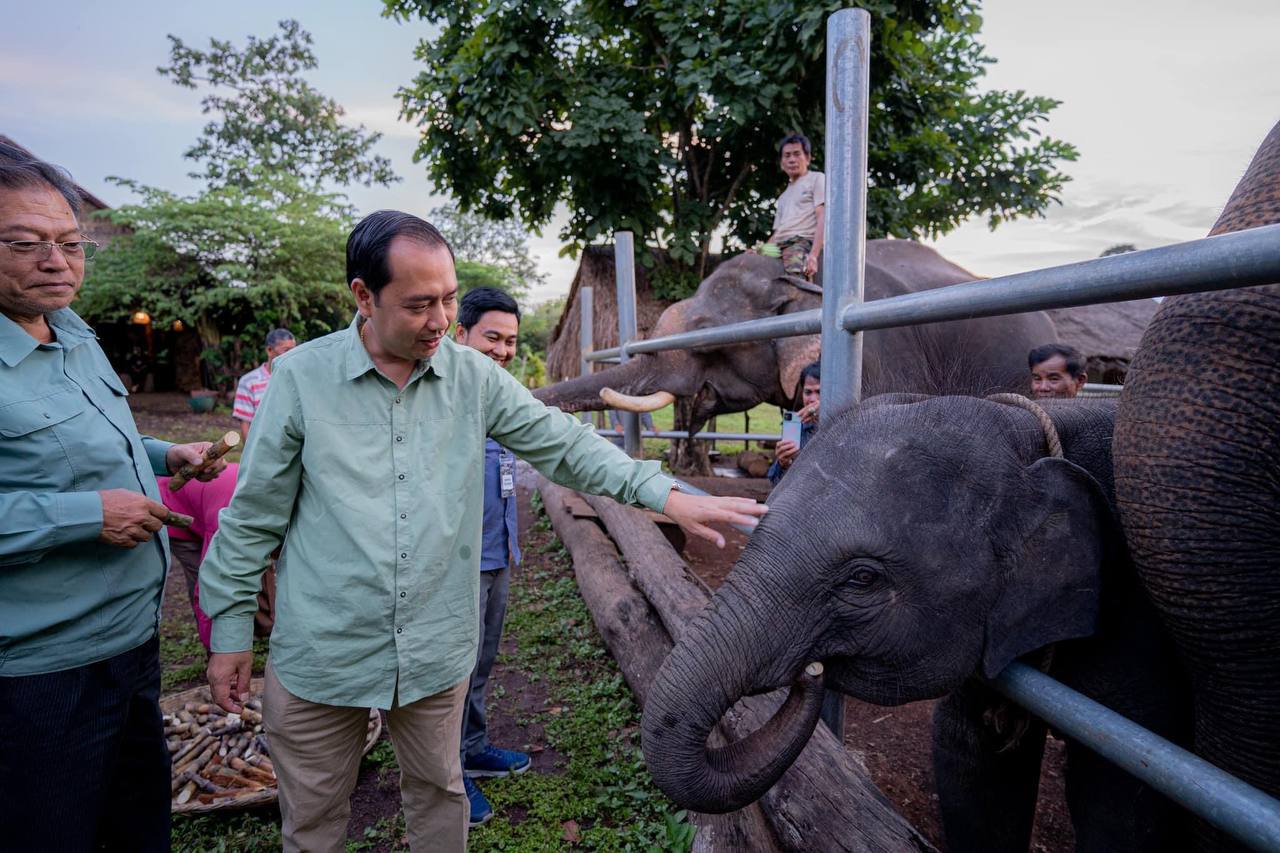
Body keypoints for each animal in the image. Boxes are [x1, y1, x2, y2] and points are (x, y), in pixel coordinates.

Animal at [645, 394, 1192, 845]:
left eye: (862, 579)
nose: (811, 671)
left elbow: (1117, 795)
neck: (1021, 435)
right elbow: (967, 756)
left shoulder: (1135, 624)